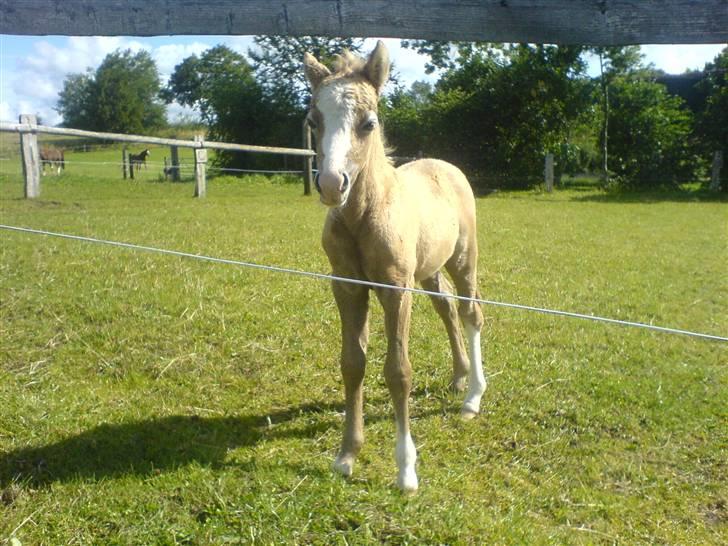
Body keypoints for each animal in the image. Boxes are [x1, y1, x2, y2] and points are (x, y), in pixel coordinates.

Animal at [304, 41, 485, 493]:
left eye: (368, 123)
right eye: (313, 120)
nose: (331, 185)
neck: (364, 216)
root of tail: (445, 165)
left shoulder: (396, 290)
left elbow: (398, 371)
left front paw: (406, 470)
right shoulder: (347, 287)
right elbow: (353, 364)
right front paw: (346, 455)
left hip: (463, 259)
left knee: (471, 313)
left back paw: (473, 397)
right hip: (429, 269)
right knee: (446, 308)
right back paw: (459, 376)